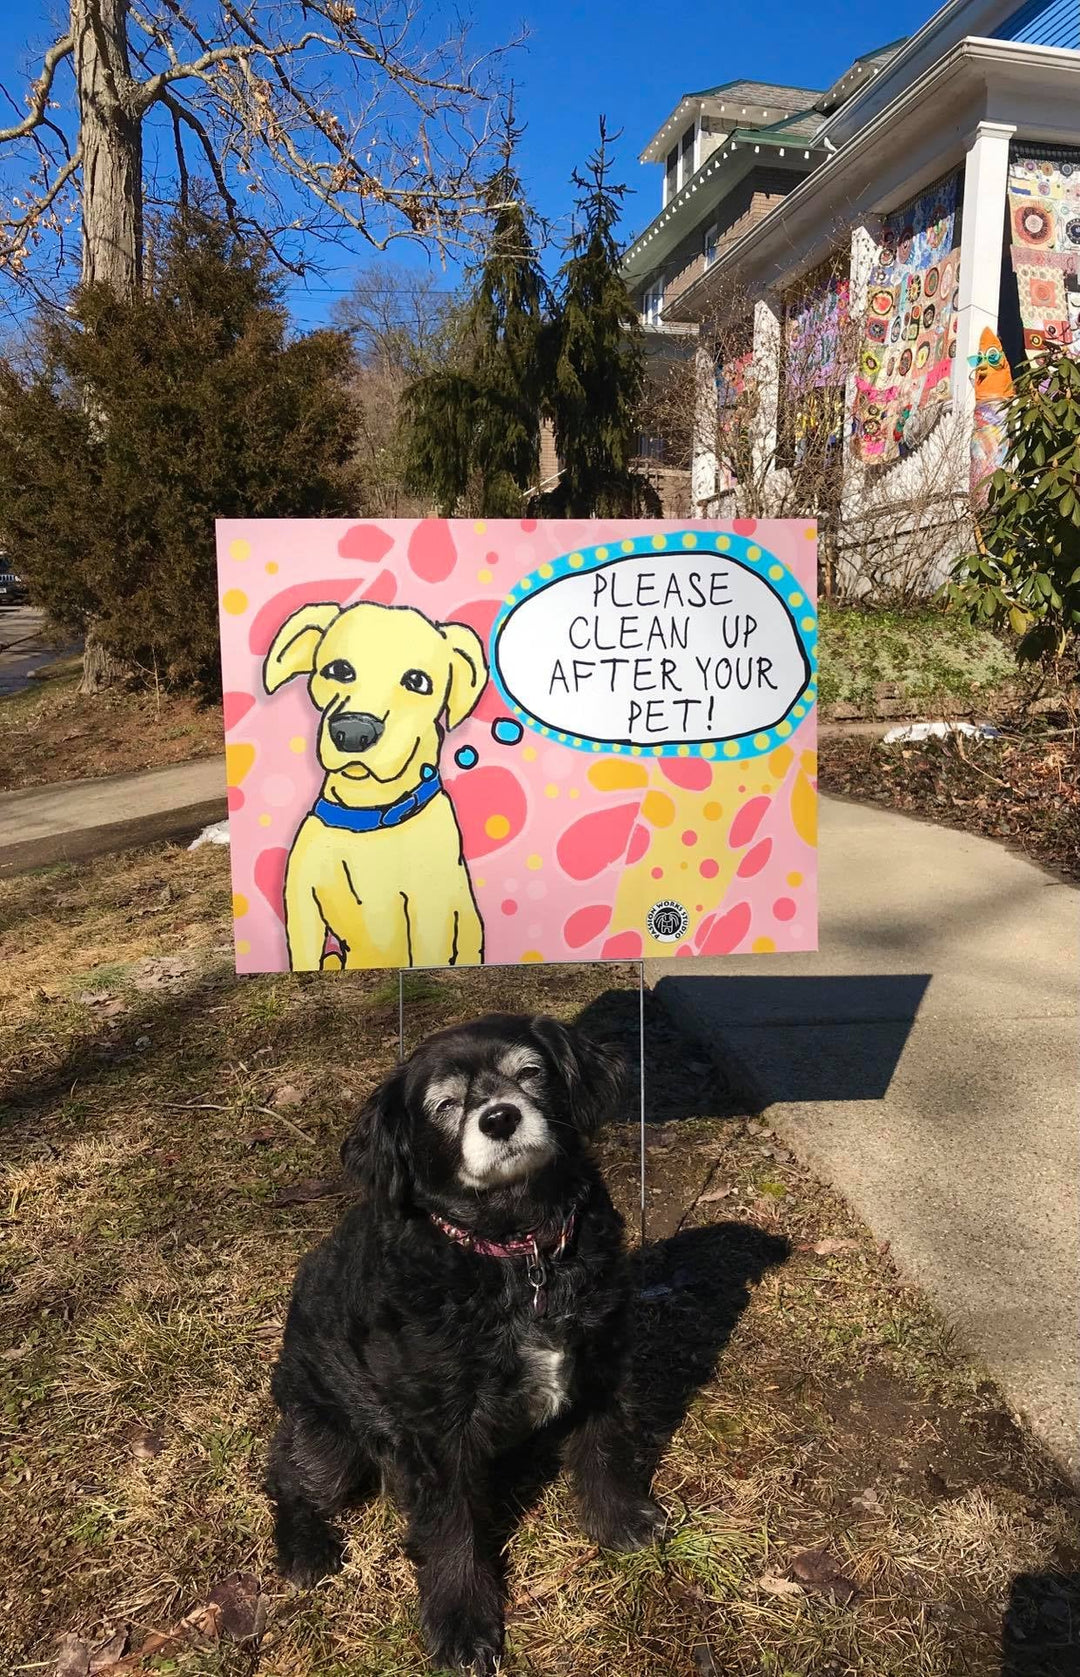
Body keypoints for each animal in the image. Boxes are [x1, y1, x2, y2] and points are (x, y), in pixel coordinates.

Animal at [264, 1012, 660, 1670]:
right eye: (444, 1104)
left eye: (530, 1071)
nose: (499, 1117)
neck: (517, 1253)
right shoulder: (436, 1429)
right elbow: (451, 1529)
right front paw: (461, 1623)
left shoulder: (602, 1362)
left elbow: (605, 1449)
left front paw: (619, 1521)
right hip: (329, 1440)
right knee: (285, 1473)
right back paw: (304, 1546)